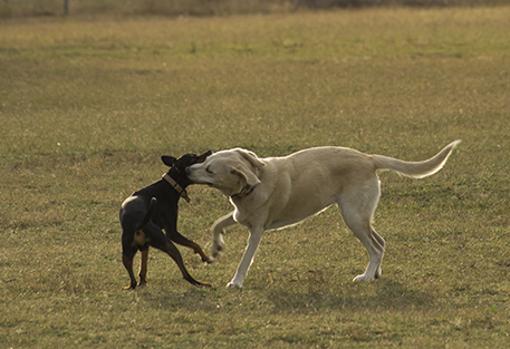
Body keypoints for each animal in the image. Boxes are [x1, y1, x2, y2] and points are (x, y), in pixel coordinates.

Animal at [120, 150, 212, 288]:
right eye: (193, 158)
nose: (210, 151)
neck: (170, 186)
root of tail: (137, 224)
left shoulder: (145, 246)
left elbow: (143, 266)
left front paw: (143, 280)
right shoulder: (172, 232)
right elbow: (194, 244)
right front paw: (205, 257)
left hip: (127, 251)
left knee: (132, 279)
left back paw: (133, 285)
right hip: (168, 243)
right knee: (185, 274)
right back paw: (202, 284)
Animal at [185, 140, 460, 286]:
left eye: (209, 170)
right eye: (205, 161)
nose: (186, 169)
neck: (254, 180)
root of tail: (369, 159)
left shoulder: (257, 231)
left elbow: (245, 259)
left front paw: (236, 282)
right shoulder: (238, 216)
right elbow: (217, 224)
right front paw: (216, 248)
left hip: (352, 216)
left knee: (375, 247)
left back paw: (366, 276)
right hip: (361, 216)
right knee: (381, 242)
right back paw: (376, 273)